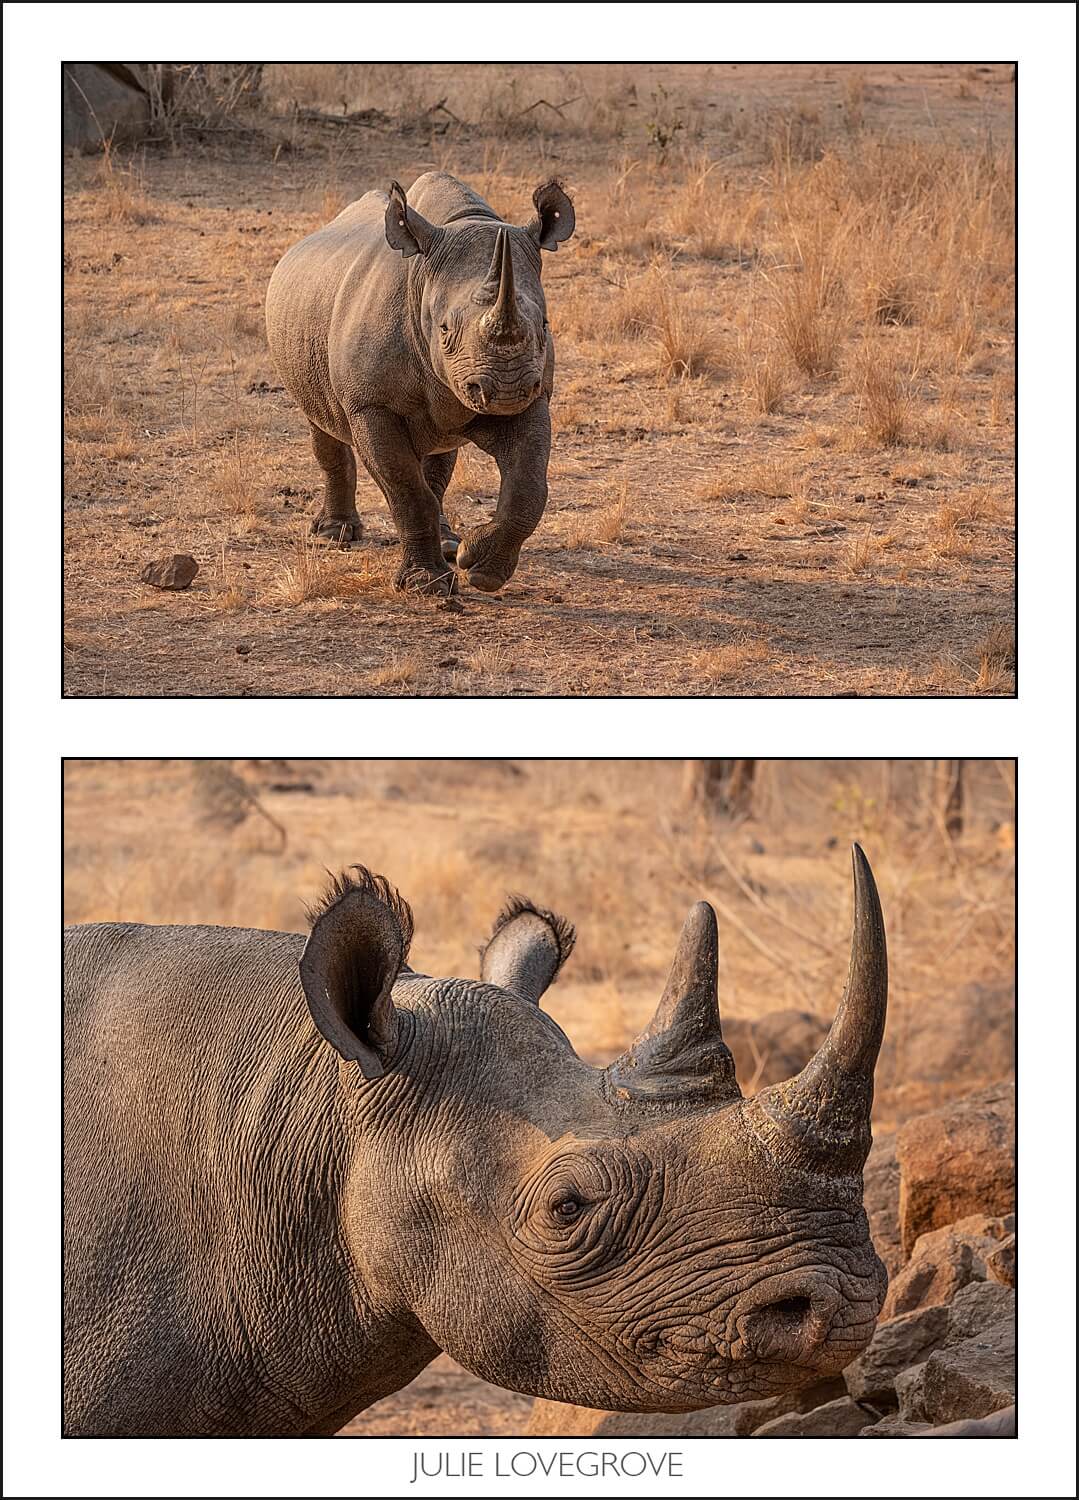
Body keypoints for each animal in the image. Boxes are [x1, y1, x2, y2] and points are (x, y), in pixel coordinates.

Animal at [265, 171, 575, 597]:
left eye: (544, 326)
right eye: (444, 330)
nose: (507, 390)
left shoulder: (535, 396)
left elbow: (528, 485)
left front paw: (481, 569)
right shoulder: (370, 404)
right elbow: (406, 489)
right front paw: (425, 585)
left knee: (440, 450)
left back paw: (450, 544)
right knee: (322, 423)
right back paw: (335, 535)